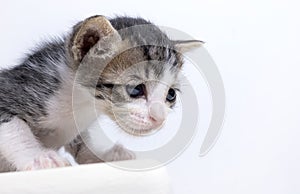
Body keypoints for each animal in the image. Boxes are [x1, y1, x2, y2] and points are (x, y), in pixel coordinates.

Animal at [0, 15, 203, 171]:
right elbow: (14, 128)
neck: (80, 103)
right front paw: (38, 157)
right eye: (136, 89)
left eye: (171, 95)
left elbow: (83, 141)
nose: (159, 118)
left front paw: (100, 155)